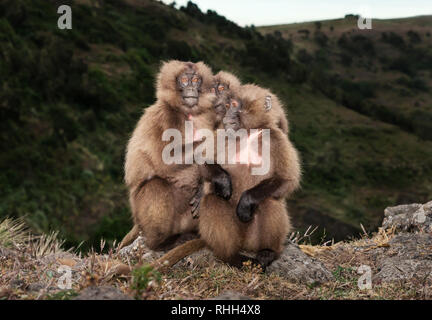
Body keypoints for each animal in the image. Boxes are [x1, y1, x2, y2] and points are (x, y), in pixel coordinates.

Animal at [118, 60, 226, 250]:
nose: (191, 88)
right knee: (156, 185)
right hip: (143, 212)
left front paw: (204, 186)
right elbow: (165, 160)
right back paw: (160, 242)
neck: (187, 114)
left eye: (196, 79)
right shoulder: (164, 117)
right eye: (184, 79)